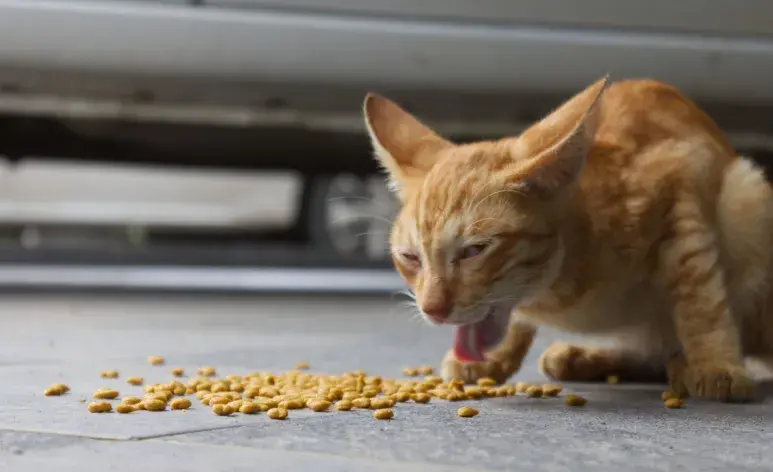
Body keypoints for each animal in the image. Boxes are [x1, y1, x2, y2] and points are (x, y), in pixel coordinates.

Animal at [364, 77, 772, 402]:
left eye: (473, 251)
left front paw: (716, 364)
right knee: (657, 353)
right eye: (410, 258)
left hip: (747, 196)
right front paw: (493, 357)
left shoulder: (682, 184)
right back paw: (584, 357)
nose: (432, 309)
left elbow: (700, 298)